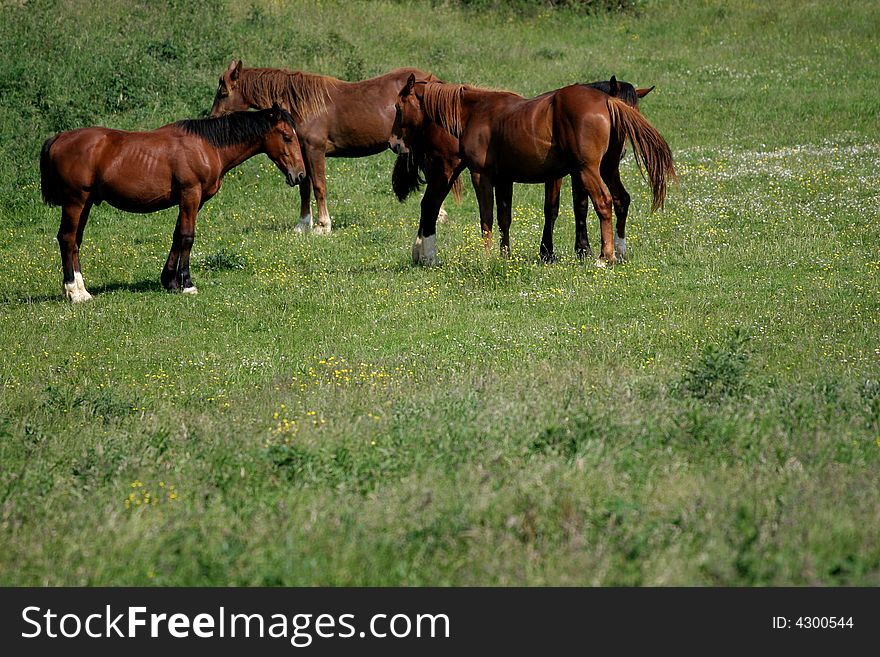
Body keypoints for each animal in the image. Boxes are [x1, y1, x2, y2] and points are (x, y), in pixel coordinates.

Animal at [42, 104, 310, 302]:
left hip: (85, 203)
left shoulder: (193, 200)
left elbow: (177, 235)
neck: (206, 145)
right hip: (75, 202)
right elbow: (187, 236)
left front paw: (170, 281)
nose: (299, 175)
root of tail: (59, 138)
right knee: (67, 239)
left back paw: (81, 290)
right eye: (287, 137)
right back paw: (74, 291)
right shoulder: (190, 194)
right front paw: (187, 283)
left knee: (75, 241)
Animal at [386, 73, 672, 264]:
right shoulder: (505, 178)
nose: (394, 143)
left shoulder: (482, 175)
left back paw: (606, 256)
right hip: (607, 168)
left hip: (589, 170)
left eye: (398, 107)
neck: (476, 111)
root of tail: (605, 102)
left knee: (605, 202)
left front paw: (488, 258)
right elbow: (505, 218)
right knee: (621, 199)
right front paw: (506, 256)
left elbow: (487, 218)